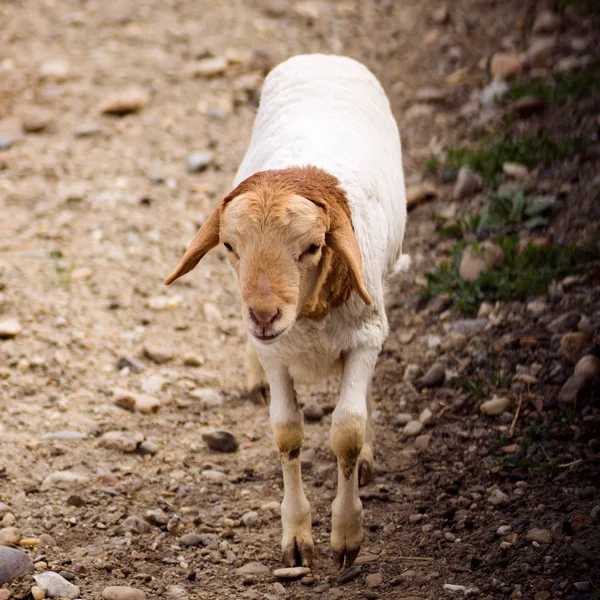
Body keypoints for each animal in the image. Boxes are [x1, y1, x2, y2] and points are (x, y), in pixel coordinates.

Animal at [166, 54, 406, 568]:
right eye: (229, 246)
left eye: (314, 247)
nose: (263, 315)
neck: (309, 317)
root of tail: (323, 56)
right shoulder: (276, 354)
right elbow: (287, 434)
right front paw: (297, 535)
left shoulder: (364, 336)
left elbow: (347, 432)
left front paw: (347, 535)